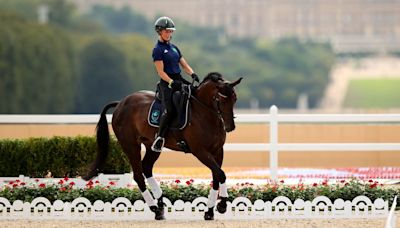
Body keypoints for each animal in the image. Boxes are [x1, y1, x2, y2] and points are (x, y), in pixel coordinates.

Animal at [83, 72, 242, 220]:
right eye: (220, 99)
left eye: (234, 99)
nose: (230, 127)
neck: (205, 113)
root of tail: (120, 103)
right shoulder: (200, 151)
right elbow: (220, 174)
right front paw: (222, 205)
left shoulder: (217, 151)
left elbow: (217, 176)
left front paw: (210, 212)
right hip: (130, 145)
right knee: (138, 175)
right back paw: (155, 208)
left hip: (152, 146)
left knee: (147, 168)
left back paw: (160, 204)